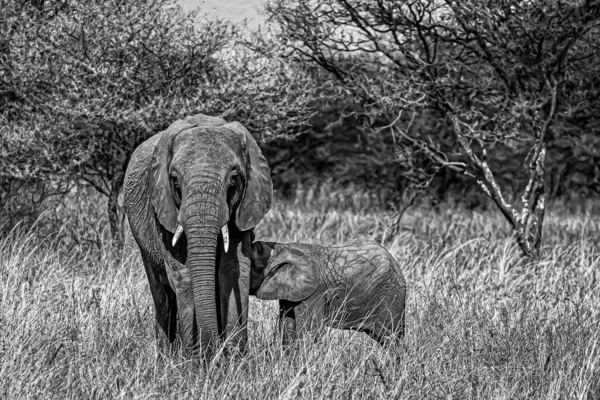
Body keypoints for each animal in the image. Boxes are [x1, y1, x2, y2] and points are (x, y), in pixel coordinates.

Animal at [123, 113, 272, 356]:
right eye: (175, 180)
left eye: (233, 179)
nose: (212, 352)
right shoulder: (165, 210)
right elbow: (184, 276)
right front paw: (195, 361)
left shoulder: (243, 207)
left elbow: (233, 271)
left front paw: (235, 359)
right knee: (163, 298)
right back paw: (167, 357)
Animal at [248, 239, 408, 346]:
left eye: (254, 267)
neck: (283, 247)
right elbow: (287, 326)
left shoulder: (314, 293)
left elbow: (309, 331)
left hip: (390, 294)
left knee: (391, 338)